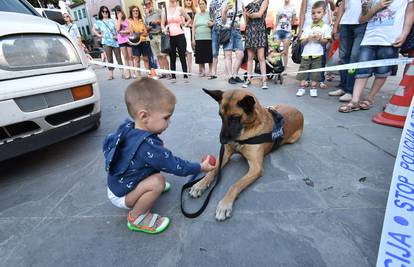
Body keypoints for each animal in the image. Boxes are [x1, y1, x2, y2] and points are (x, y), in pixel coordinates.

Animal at [188, 89, 304, 221]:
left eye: (235, 118)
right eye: (220, 116)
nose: (222, 141)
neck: (246, 131)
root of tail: (298, 110)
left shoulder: (256, 168)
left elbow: (235, 185)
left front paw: (225, 204)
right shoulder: (225, 154)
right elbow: (213, 170)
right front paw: (200, 184)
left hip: (293, 139)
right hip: (274, 107)